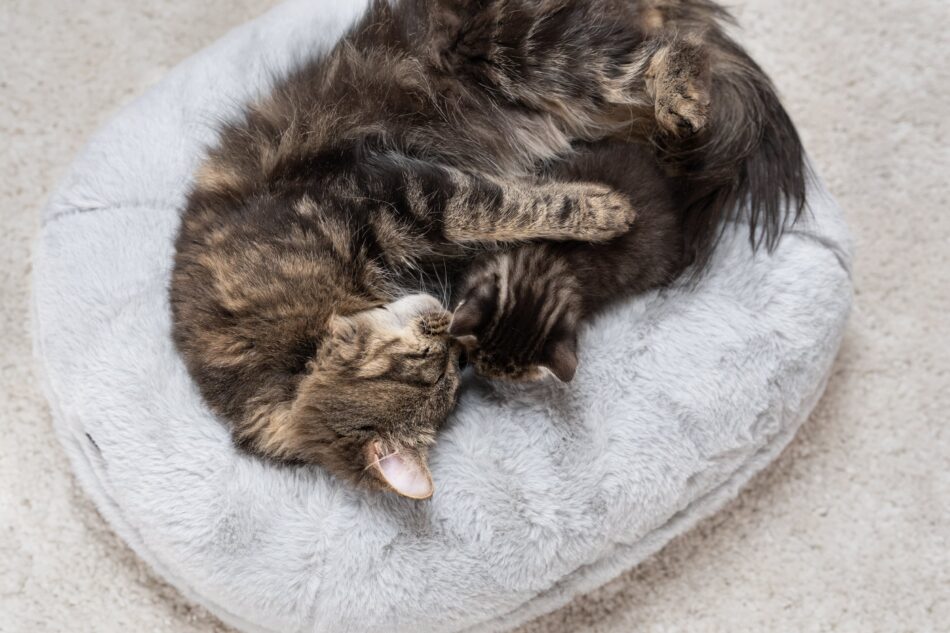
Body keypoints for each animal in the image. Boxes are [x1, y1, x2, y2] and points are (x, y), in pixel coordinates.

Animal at [171, 0, 804, 498]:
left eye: (426, 359)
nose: (444, 322)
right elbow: (505, 211)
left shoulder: (398, 191)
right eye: (443, 371)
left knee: (674, 49)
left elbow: (507, 204)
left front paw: (603, 210)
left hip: (524, 48)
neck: (286, 346)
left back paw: (682, 105)